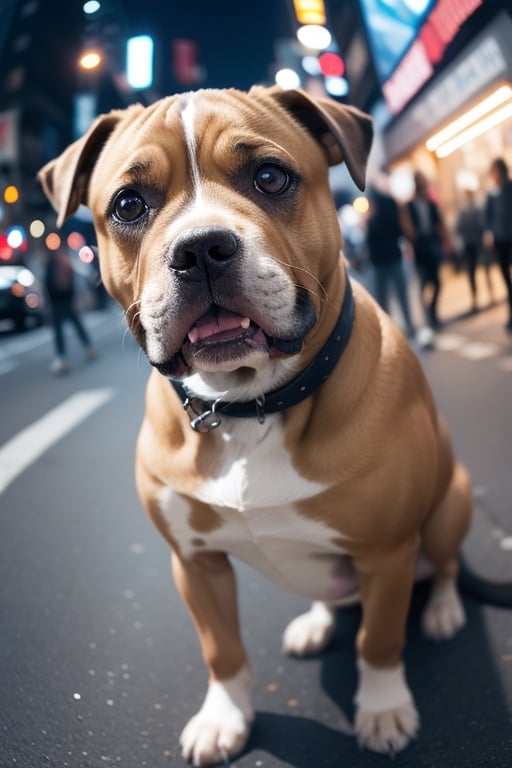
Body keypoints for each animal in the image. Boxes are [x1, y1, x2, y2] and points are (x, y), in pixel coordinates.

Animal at [39, 87, 472, 764]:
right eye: (128, 204)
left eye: (270, 177)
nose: (199, 249)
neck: (247, 404)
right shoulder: (195, 563)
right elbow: (222, 649)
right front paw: (225, 717)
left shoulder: (386, 553)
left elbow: (378, 641)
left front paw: (383, 709)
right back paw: (317, 622)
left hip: (451, 500)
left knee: (445, 567)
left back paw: (444, 612)